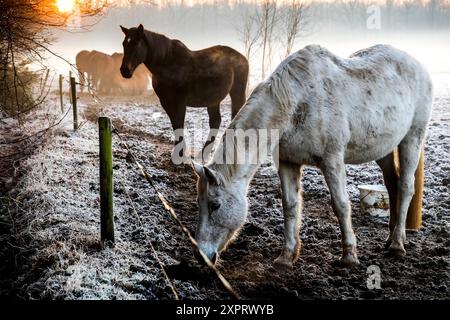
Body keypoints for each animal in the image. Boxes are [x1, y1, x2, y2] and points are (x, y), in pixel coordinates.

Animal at [118, 24, 250, 160]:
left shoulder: (180, 102)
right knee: (215, 121)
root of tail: (242, 58)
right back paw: (204, 153)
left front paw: (179, 154)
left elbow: (179, 122)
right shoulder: (165, 101)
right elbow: (175, 124)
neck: (168, 64)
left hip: (237, 93)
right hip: (213, 99)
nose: (125, 70)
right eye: (124, 43)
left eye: (137, 43)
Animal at [191, 44, 432, 268]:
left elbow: (341, 205)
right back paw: (390, 237)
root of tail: (418, 65)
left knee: (405, 187)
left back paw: (397, 244)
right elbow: (290, 206)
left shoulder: (332, 160)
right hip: (384, 149)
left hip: (412, 138)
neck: (296, 103)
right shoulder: (288, 163)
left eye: (215, 205)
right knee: (392, 186)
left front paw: (349, 256)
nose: (201, 256)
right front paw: (286, 257)